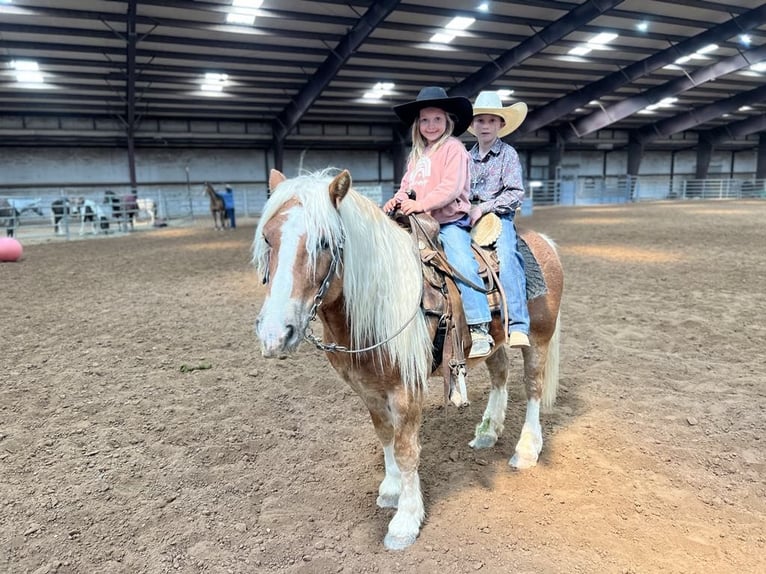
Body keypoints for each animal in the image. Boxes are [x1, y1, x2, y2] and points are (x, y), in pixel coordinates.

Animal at [255, 169, 568, 552]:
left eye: (325, 242)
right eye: (268, 238)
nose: (274, 333)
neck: (379, 303)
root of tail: (544, 242)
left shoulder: (407, 390)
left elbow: (406, 450)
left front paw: (405, 521)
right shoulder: (368, 389)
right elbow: (385, 436)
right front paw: (390, 490)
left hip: (538, 338)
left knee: (533, 386)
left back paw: (525, 450)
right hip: (493, 343)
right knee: (500, 376)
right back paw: (487, 433)